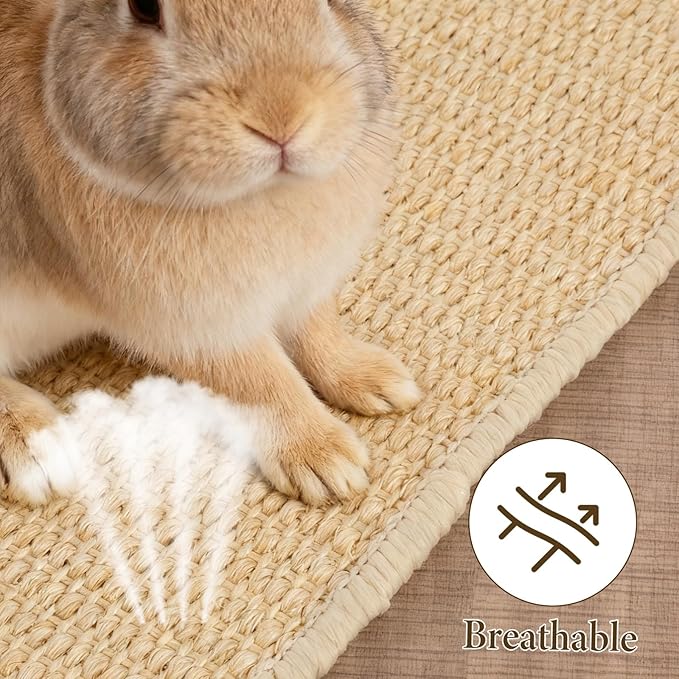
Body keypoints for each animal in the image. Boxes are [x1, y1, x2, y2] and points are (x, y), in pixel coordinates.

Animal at [0, 0, 421, 507]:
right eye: (143, 8)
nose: (281, 115)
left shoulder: (305, 286)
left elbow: (318, 332)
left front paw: (379, 381)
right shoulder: (194, 324)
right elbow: (259, 382)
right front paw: (327, 462)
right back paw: (38, 453)